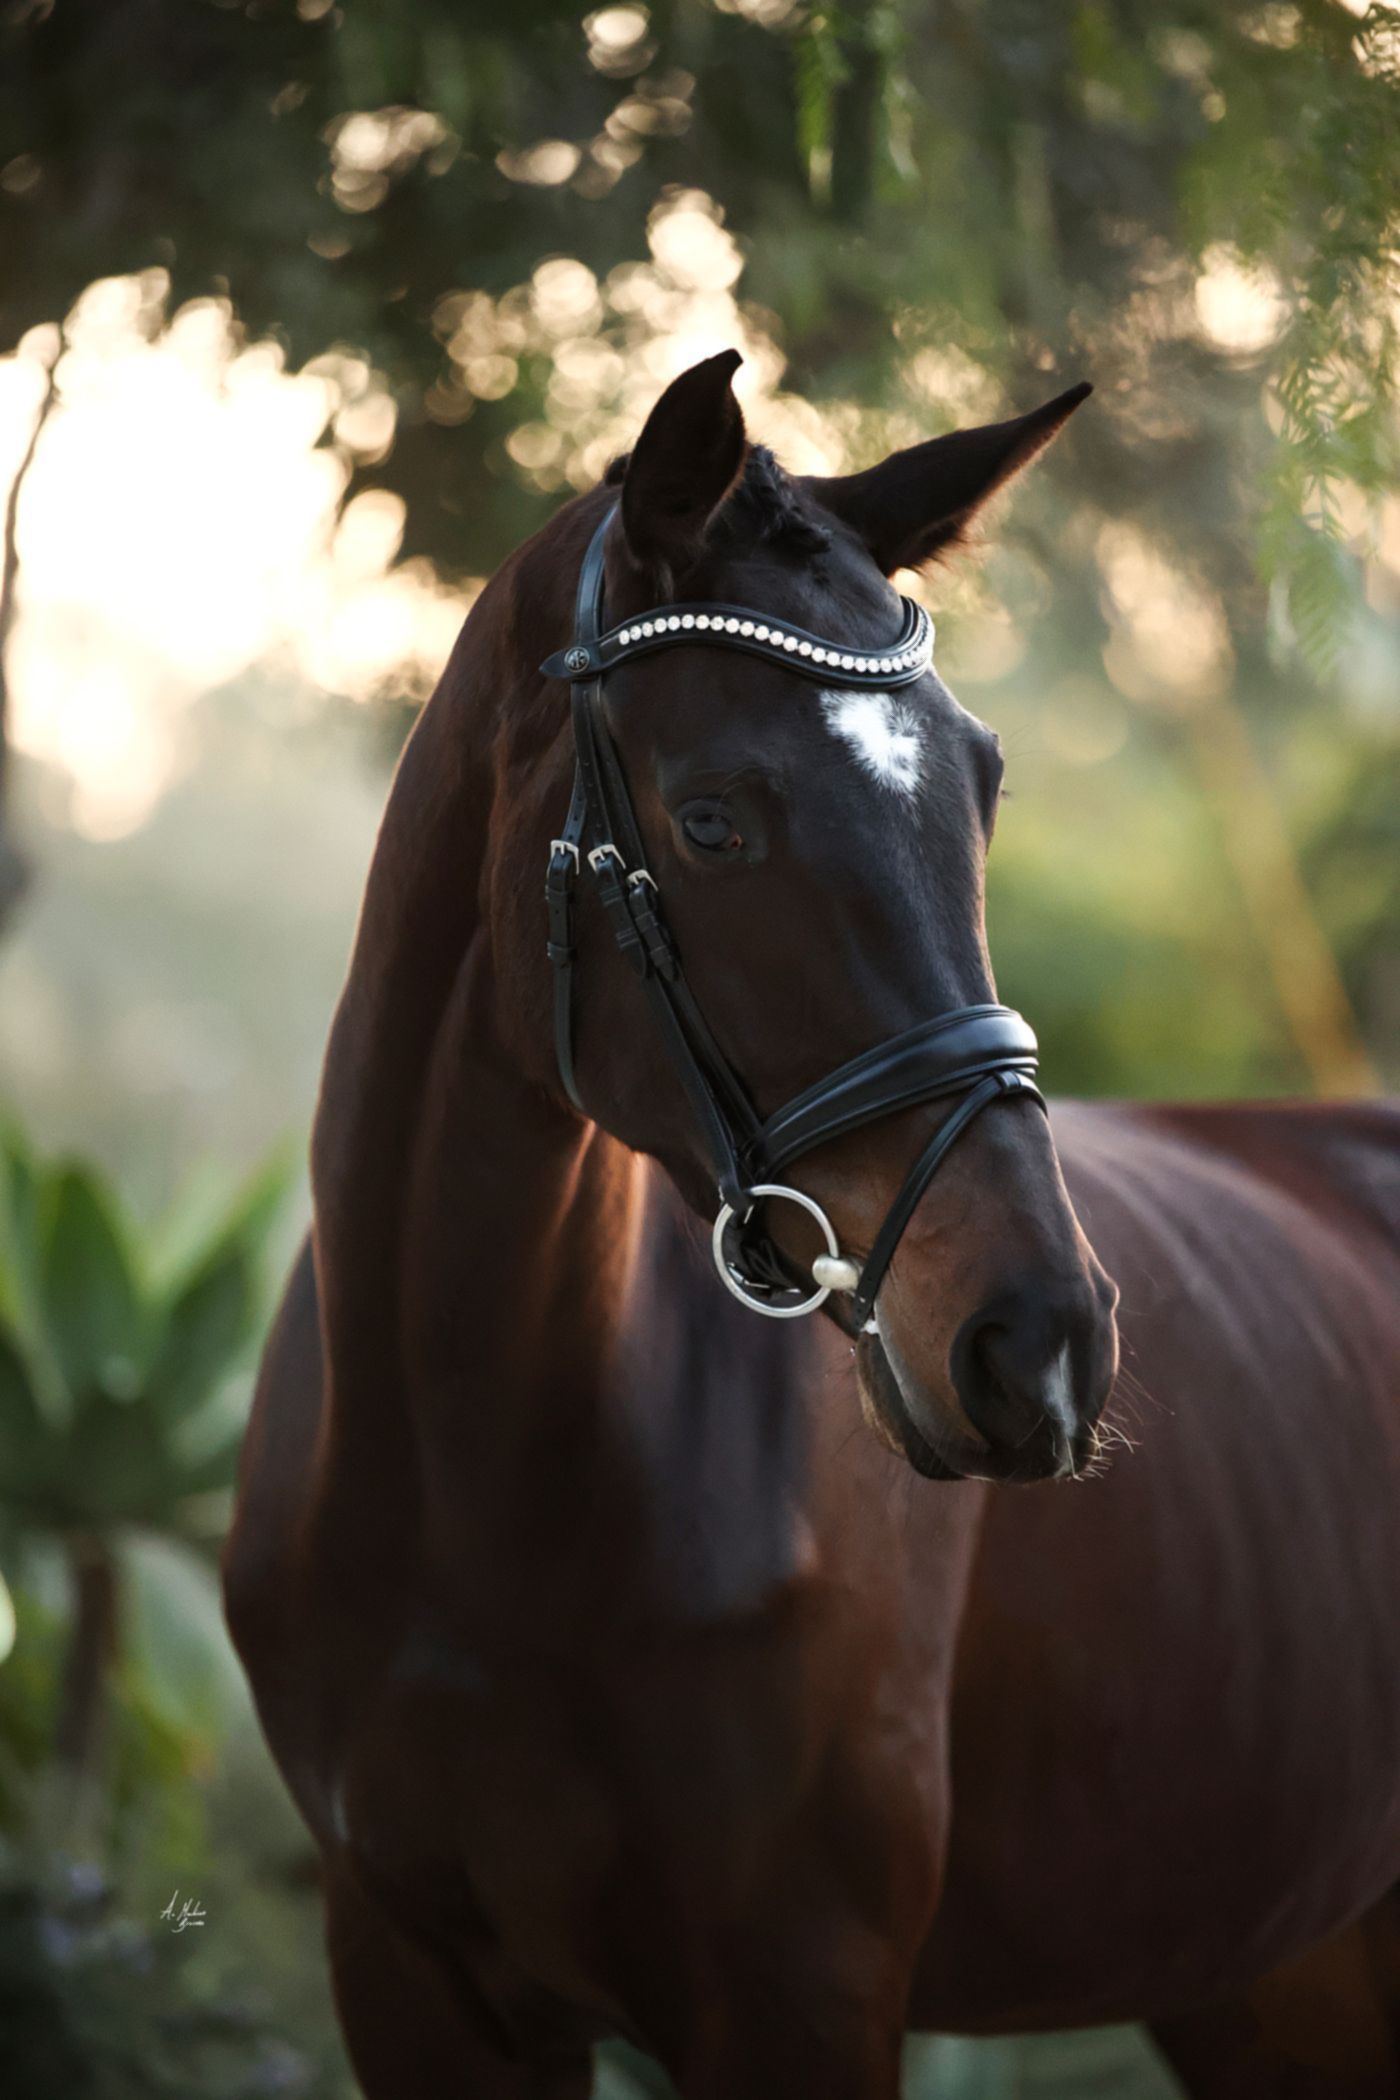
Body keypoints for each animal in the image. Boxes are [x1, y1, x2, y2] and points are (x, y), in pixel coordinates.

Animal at [224, 350, 1400, 2098]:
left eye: (985, 785)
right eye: (710, 821)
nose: (1040, 1346)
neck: (472, 1473)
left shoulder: (803, 1994)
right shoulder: (411, 1978)